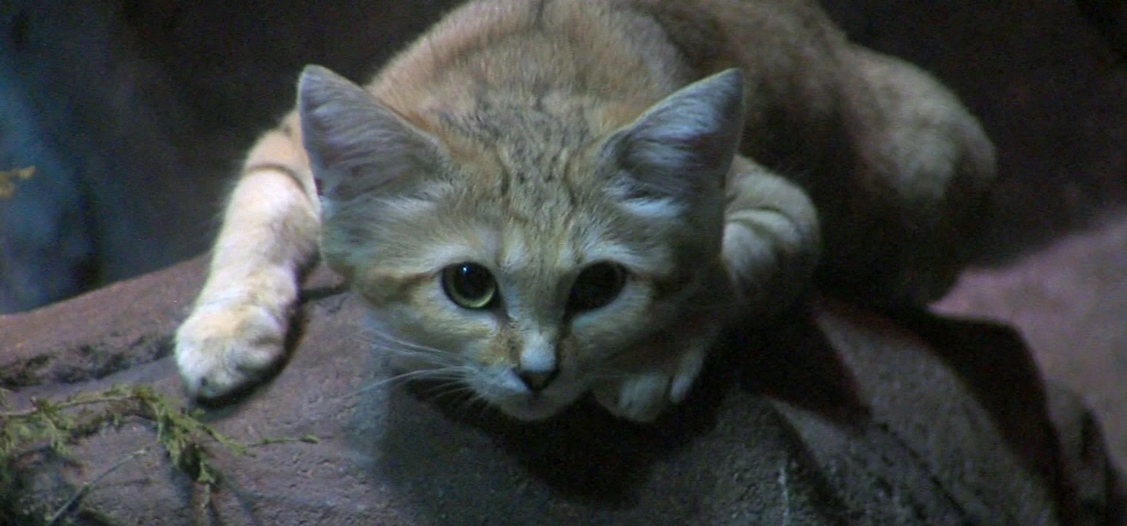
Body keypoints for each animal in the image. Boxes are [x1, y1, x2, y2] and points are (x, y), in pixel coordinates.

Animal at [171, 0, 991, 421]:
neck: (522, 77)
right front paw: (226, 328)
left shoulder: (779, 208)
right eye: (468, 285)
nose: (537, 375)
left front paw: (650, 356)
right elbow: (253, 222)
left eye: (599, 287)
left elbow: (724, 270)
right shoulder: (289, 147)